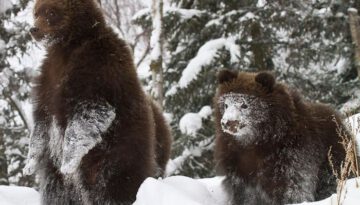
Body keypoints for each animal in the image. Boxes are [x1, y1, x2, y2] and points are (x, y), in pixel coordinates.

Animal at [23, 0, 172, 205]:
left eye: (51, 12)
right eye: (36, 12)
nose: (34, 29)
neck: (68, 46)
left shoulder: (98, 68)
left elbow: (89, 113)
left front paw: (68, 160)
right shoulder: (48, 80)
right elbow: (41, 123)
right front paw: (29, 163)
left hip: (118, 154)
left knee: (114, 187)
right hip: (60, 174)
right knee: (56, 191)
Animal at [214, 69, 348, 204]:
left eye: (244, 105)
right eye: (226, 104)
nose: (227, 122)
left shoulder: (290, 154)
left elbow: (292, 187)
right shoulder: (237, 162)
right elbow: (244, 193)